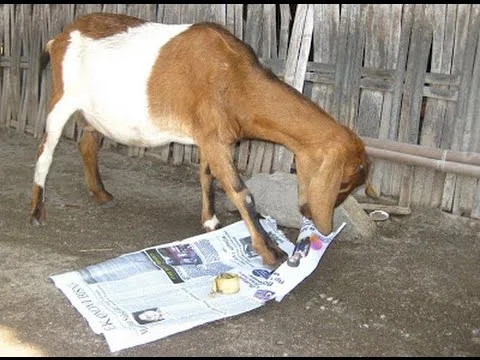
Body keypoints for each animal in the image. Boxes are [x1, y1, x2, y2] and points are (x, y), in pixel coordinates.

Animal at [31, 13, 372, 268]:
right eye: (343, 183)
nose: (316, 220)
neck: (234, 78)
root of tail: (60, 37)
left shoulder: (213, 137)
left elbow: (207, 176)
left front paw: (210, 222)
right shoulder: (212, 137)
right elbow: (240, 191)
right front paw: (270, 252)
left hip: (92, 113)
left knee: (87, 143)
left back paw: (101, 194)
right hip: (61, 98)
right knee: (45, 149)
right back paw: (36, 212)